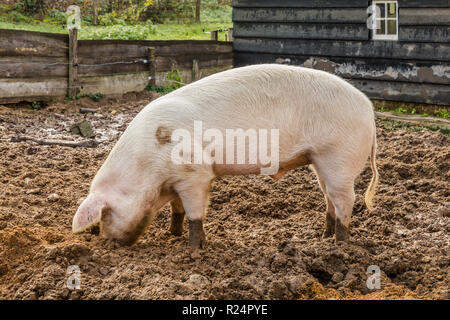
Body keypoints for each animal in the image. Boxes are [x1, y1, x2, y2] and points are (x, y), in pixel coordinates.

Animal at [72, 63, 378, 248]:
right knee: (328, 198)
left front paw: (194, 248)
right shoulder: (176, 181)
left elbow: (195, 213)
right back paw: (323, 237)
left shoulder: (195, 175)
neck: (146, 171)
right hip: (319, 161)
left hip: (339, 157)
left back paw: (339, 245)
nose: (109, 244)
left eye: (104, 215)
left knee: (345, 201)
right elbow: (177, 210)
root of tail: (369, 111)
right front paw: (171, 234)